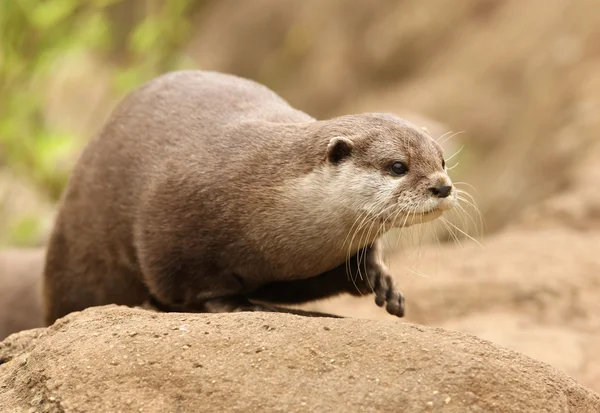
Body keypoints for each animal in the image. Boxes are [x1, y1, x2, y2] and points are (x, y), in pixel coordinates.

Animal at [42, 69, 458, 324]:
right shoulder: (170, 228)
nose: (443, 186)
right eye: (398, 166)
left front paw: (383, 281)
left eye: (441, 160)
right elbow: (187, 284)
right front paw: (236, 304)